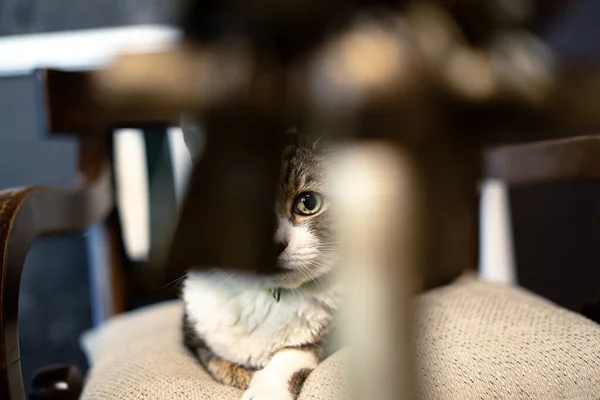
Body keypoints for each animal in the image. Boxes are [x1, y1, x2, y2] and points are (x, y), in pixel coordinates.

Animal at [178, 119, 340, 400]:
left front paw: (266, 388)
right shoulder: (196, 338)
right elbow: (219, 363)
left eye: (308, 202)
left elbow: (296, 352)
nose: (271, 245)